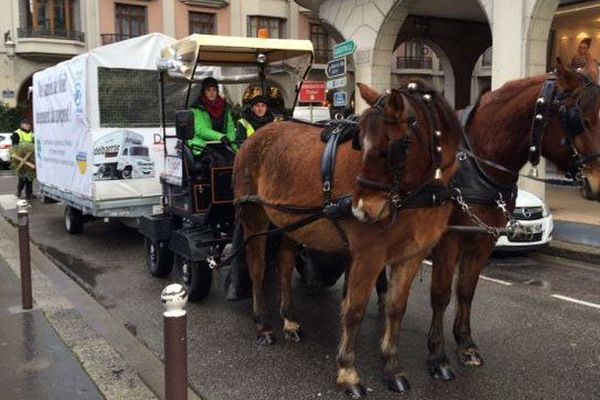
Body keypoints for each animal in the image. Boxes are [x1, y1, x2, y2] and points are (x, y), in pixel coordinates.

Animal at [233, 82, 460, 396]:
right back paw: (263, 324)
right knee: (256, 269)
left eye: (392, 147)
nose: (361, 210)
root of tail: (257, 136)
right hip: (253, 216)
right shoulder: (368, 255)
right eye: (360, 142)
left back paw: (289, 320)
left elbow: (395, 309)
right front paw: (348, 372)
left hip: (290, 222)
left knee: (285, 266)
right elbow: (354, 310)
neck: (413, 197)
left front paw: (392, 367)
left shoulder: (411, 255)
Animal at [424, 57, 600, 382]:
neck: (477, 166)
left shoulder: (484, 240)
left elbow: (466, 290)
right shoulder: (449, 240)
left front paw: (466, 344)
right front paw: (437, 355)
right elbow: (441, 294)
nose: (598, 184)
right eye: (581, 120)